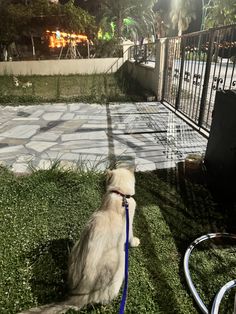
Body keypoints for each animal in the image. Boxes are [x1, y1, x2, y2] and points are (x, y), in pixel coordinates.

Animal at [19, 168, 140, 312]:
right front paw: (136, 242)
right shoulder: (129, 226)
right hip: (120, 266)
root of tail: (76, 296)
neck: (120, 196)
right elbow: (132, 237)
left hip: (76, 247)